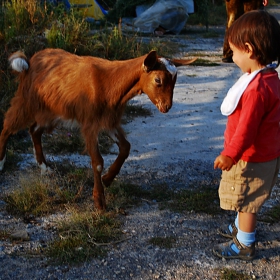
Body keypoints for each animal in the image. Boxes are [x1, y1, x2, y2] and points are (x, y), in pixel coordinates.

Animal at [0, 48, 196, 210]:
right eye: (158, 80)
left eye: (175, 81)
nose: (166, 107)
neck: (109, 83)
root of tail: (31, 61)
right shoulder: (90, 124)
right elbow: (98, 161)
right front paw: (99, 202)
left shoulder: (109, 120)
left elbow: (125, 147)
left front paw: (108, 179)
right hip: (27, 101)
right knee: (7, 127)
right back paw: (2, 163)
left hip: (51, 111)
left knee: (34, 130)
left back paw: (44, 168)